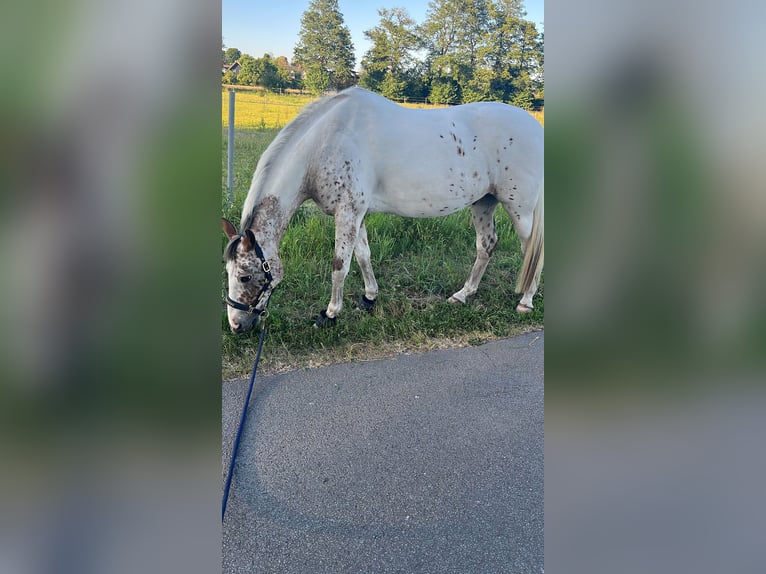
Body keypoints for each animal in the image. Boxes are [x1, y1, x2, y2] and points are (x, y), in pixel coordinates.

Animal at [222, 88, 544, 336]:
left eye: (245, 277)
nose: (236, 326)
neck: (326, 142)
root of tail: (536, 129)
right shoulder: (357, 214)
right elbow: (363, 256)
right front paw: (369, 298)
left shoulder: (347, 213)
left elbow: (339, 265)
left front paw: (330, 315)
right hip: (483, 202)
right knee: (486, 246)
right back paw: (463, 295)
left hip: (521, 210)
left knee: (532, 252)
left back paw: (526, 302)